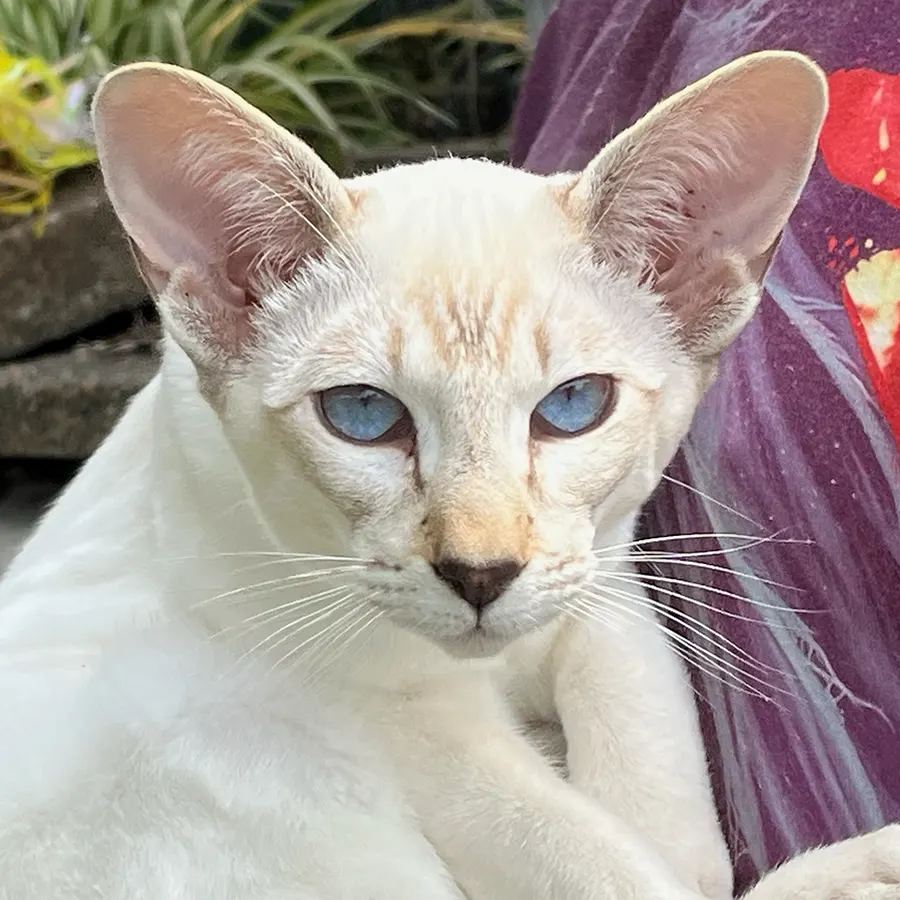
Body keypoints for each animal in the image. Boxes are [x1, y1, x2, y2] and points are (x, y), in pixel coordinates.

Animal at [1, 52, 900, 900]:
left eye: (574, 405)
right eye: (363, 413)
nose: (480, 574)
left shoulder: (604, 573)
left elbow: (654, 776)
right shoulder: (396, 711)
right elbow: (607, 867)